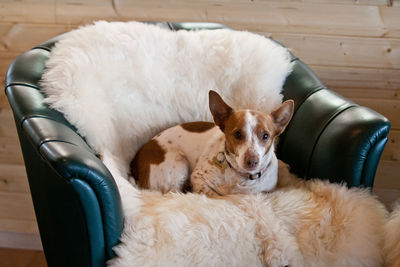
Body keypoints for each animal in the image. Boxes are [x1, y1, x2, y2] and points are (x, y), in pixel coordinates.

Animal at [131, 91, 294, 198]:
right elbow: (215, 195)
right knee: (172, 192)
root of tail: (136, 159)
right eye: (237, 134)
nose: (252, 161)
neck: (239, 177)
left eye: (265, 136)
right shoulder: (198, 177)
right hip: (179, 162)